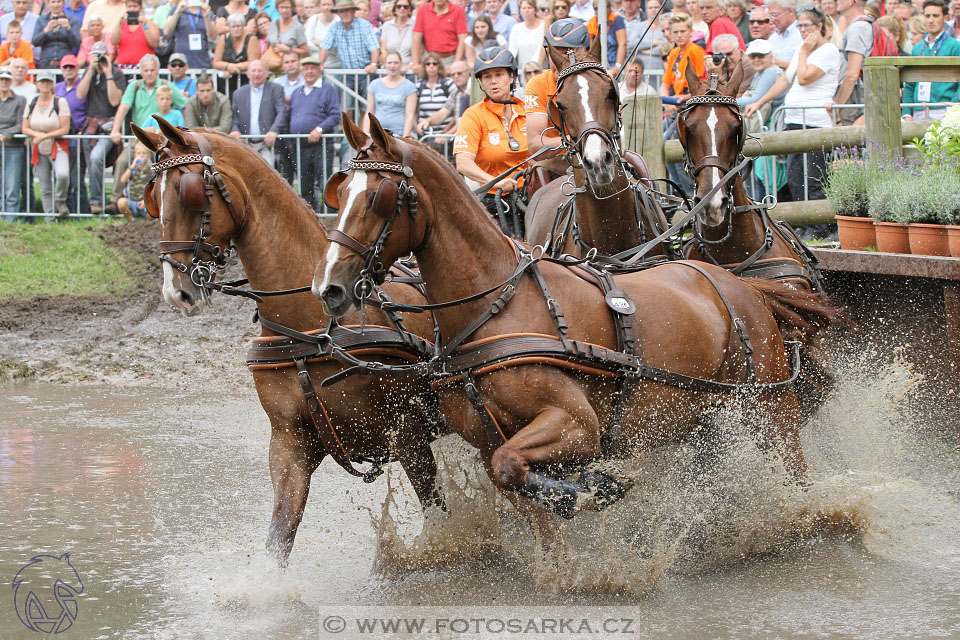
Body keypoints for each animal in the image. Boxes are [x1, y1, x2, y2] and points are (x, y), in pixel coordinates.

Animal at [133, 119, 444, 564]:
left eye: (188, 192)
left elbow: (438, 513)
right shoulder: (289, 443)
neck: (313, 328)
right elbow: (280, 533)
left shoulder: (408, 434)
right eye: (153, 199)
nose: (176, 291)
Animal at [316, 112, 840, 536]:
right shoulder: (488, 445)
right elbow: (520, 493)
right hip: (704, 416)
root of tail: (743, 286)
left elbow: (516, 465)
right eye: (339, 195)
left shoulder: (578, 425)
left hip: (771, 407)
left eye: (378, 198)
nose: (329, 286)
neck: (497, 306)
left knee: (795, 470)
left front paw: (592, 488)